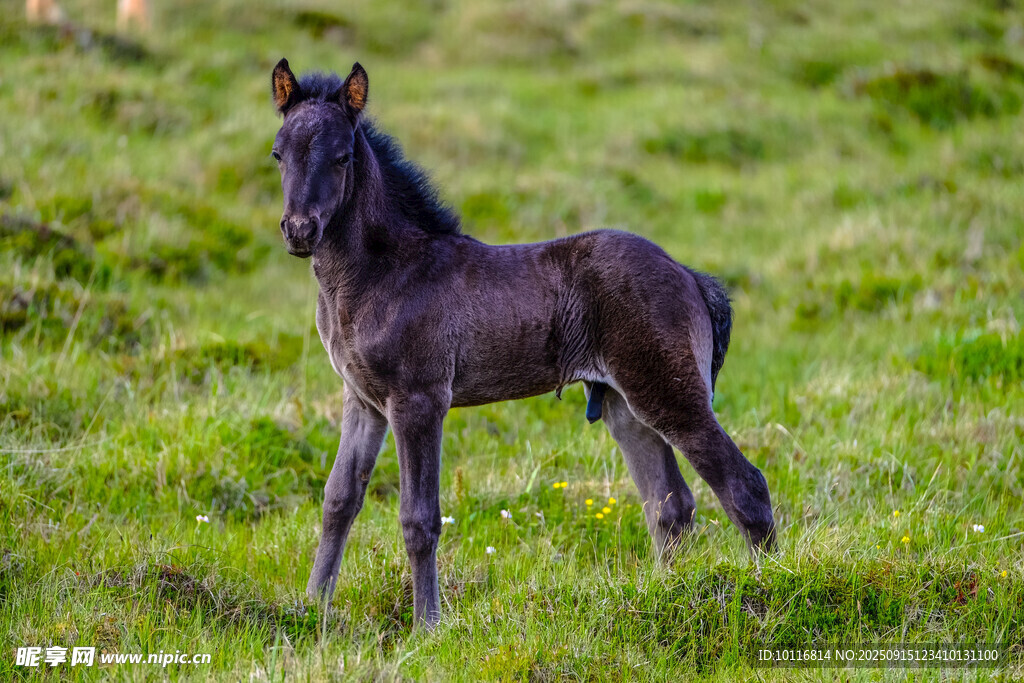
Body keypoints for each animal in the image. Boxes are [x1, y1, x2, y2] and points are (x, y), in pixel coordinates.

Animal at [269, 59, 776, 628]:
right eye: (278, 153)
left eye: (342, 157)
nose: (299, 230)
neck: (383, 271)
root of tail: (690, 275)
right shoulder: (363, 400)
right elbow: (338, 500)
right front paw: (311, 609)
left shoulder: (419, 401)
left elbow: (419, 518)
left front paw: (427, 627)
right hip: (625, 406)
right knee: (670, 507)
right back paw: (669, 593)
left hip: (668, 392)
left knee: (744, 486)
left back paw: (771, 584)